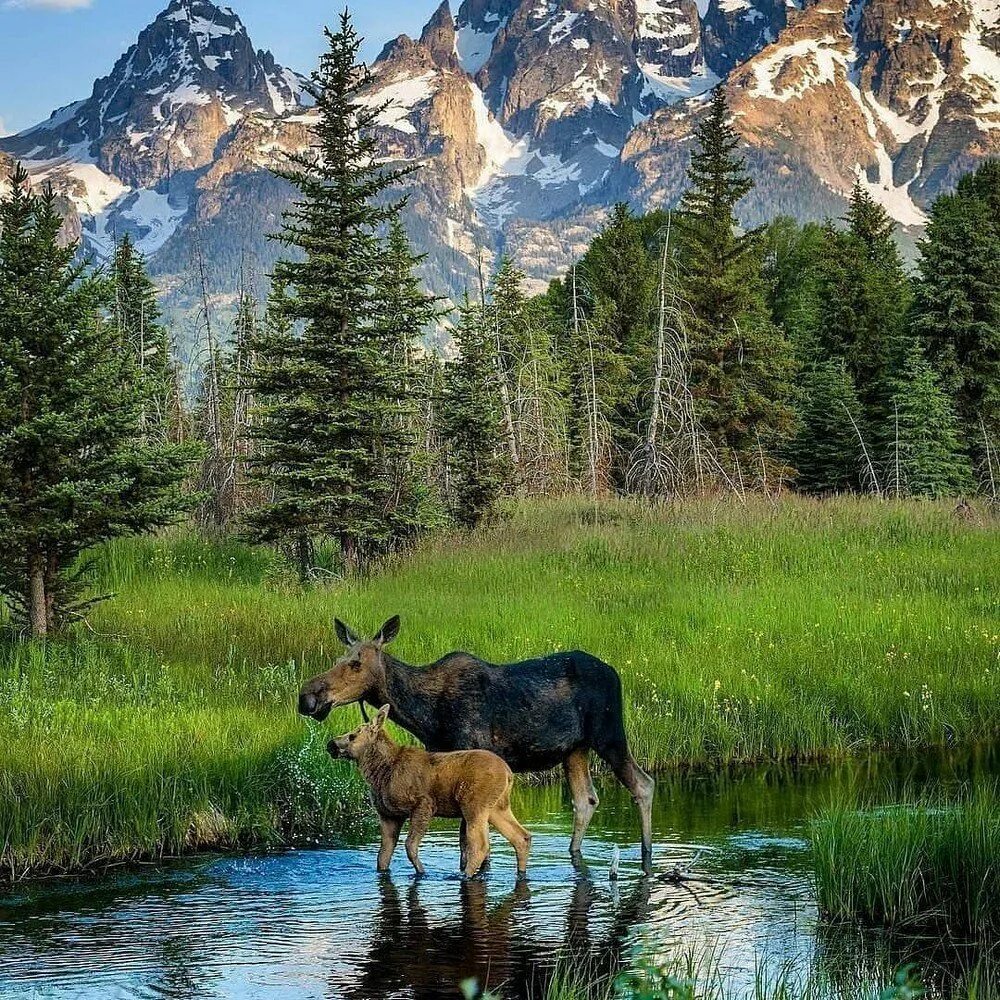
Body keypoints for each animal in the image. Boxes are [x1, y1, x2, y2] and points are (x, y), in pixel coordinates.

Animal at [328, 704, 532, 876]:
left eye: (353, 736)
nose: (331, 744)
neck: (380, 772)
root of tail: (508, 773)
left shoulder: (423, 805)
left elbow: (410, 846)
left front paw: (422, 872)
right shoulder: (389, 815)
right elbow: (382, 856)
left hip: (474, 805)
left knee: (480, 845)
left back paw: (465, 876)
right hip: (497, 807)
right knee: (521, 837)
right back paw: (521, 873)